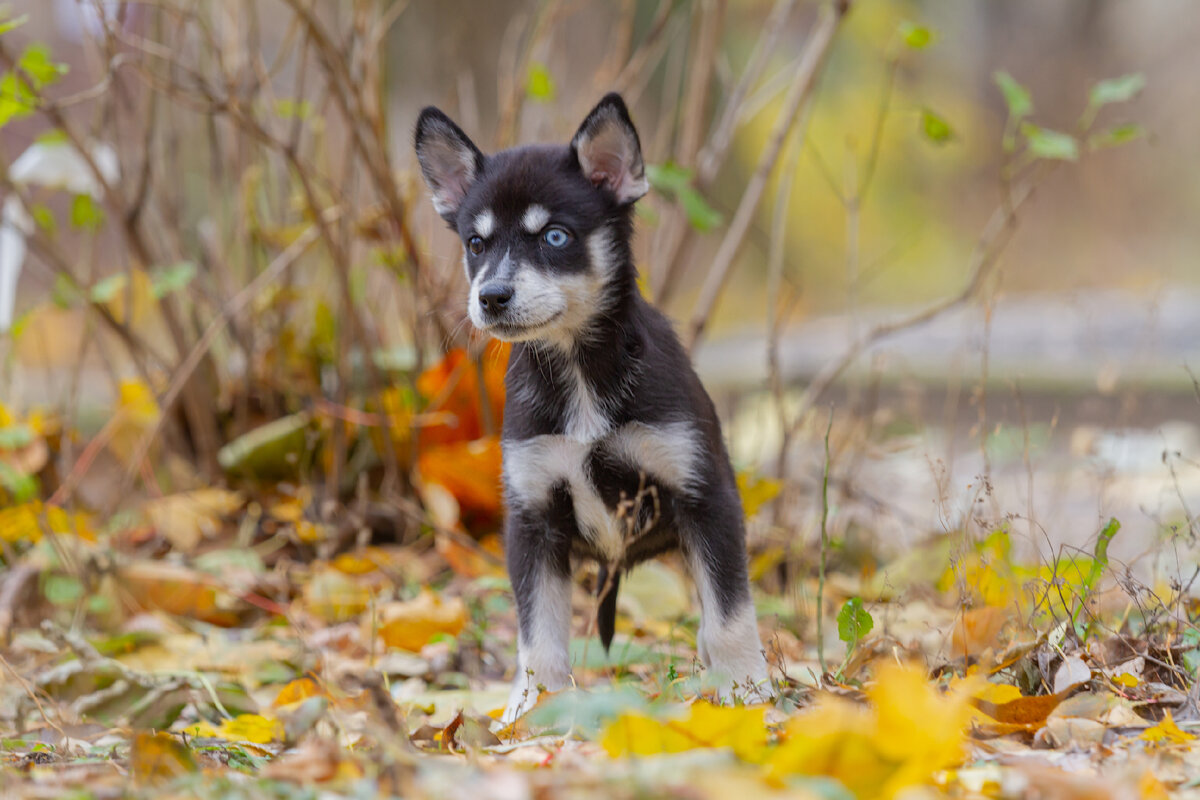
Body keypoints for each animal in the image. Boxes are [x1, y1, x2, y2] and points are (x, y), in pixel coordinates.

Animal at [412, 90, 768, 724]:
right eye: (476, 244)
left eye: (555, 237)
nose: (490, 298)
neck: (578, 369)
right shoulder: (533, 519)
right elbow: (539, 634)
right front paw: (533, 710)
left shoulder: (707, 500)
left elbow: (729, 613)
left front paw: (747, 692)